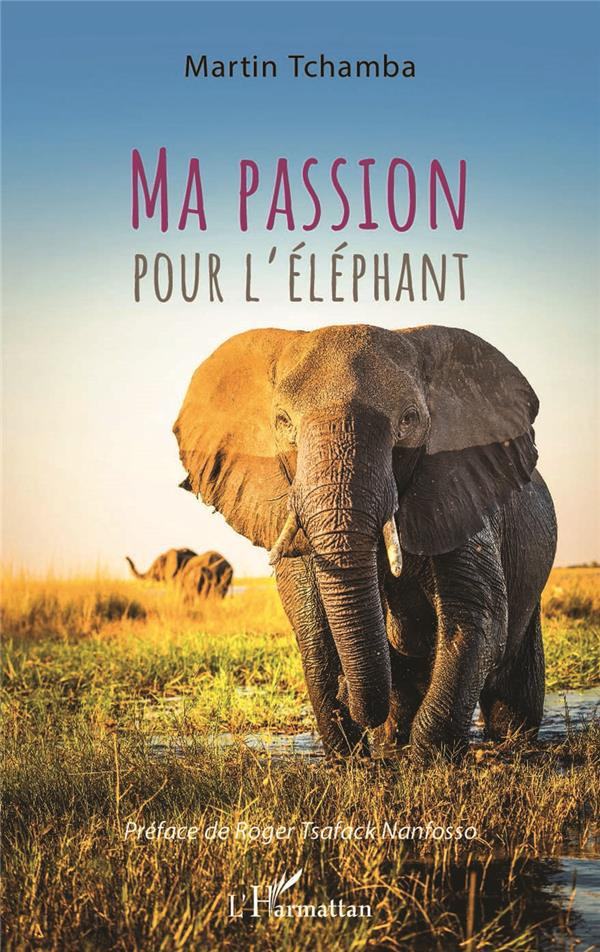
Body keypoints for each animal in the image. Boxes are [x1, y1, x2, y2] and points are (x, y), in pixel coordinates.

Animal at [173, 324, 557, 762]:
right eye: (282, 421)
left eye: (409, 419)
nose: (348, 695)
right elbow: (311, 623)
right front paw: (350, 758)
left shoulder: (458, 487)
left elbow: (477, 615)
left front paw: (427, 761)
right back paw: (392, 741)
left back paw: (510, 744)